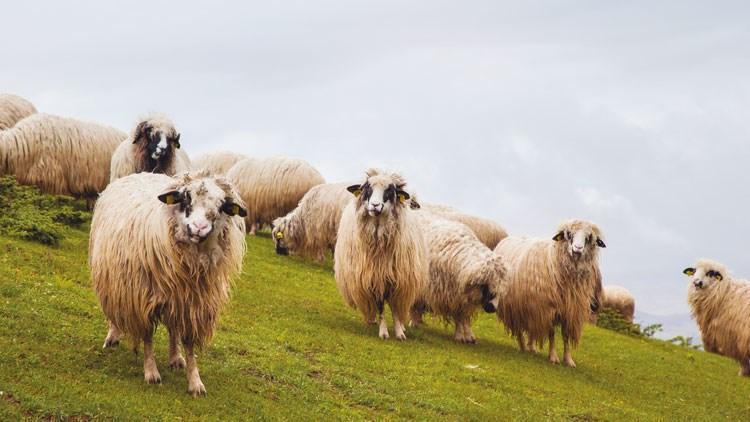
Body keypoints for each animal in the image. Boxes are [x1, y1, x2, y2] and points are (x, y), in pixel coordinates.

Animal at [91, 170, 248, 394]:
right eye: (186, 198)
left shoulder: (194, 303)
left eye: (221, 206)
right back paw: (112, 336)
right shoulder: (142, 296)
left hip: (175, 297)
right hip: (116, 280)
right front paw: (151, 372)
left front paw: (195, 382)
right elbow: (147, 335)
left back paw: (175, 357)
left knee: (174, 329)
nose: (199, 228)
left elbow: (189, 343)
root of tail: (139, 173)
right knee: (115, 308)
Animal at [334, 168, 428, 340]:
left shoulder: (397, 280)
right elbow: (380, 307)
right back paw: (372, 320)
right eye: (367, 188)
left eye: (390, 190)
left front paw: (399, 332)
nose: (375, 205)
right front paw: (383, 332)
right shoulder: (374, 278)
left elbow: (395, 308)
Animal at [408, 213, 508, 344]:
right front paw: (460, 335)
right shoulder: (454, 297)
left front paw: (469, 336)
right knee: (415, 305)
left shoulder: (464, 298)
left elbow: (464, 317)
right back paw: (414, 322)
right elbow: (459, 317)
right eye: (486, 285)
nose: (492, 308)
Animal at [496, 219, 608, 368]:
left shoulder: (569, 309)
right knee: (519, 328)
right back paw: (523, 346)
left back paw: (531, 347)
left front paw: (568, 359)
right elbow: (552, 334)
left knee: (532, 327)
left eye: (589, 238)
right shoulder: (549, 307)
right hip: (513, 305)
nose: (577, 249)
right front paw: (553, 357)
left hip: (530, 307)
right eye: (569, 234)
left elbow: (565, 335)